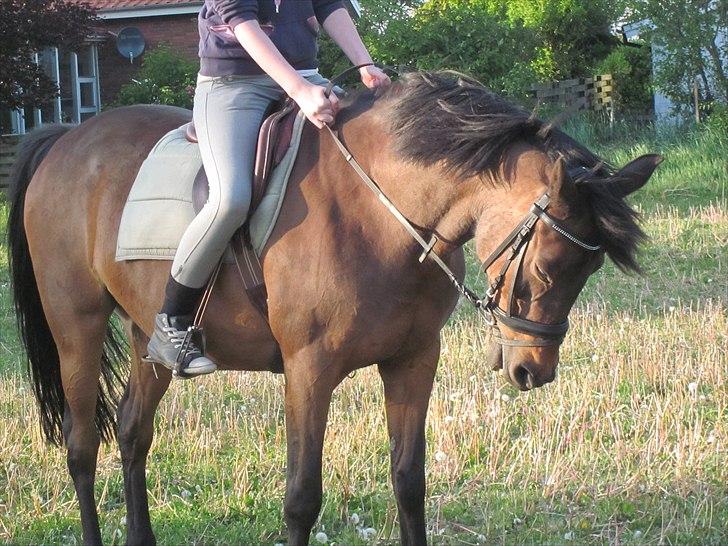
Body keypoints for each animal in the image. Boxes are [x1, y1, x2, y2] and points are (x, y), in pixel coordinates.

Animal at [8, 73, 660, 544]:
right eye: (548, 266)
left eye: (591, 271)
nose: (533, 370)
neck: (382, 213)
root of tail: (66, 139)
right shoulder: (309, 369)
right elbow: (302, 498)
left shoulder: (414, 359)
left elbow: (409, 482)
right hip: (77, 328)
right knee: (82, 444)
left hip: (148, 337)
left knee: (133, 432)